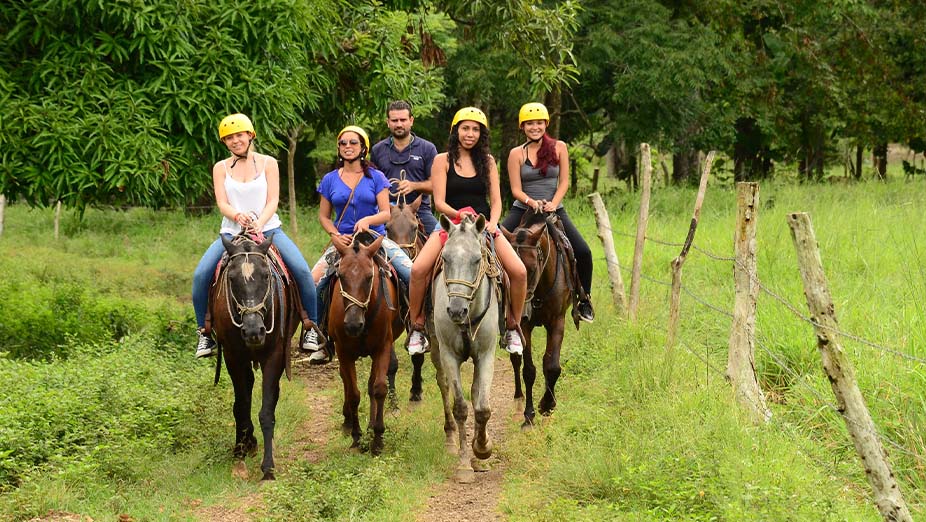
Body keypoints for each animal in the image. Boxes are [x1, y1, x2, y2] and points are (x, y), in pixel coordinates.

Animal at [208, 234, 300, 478]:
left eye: (266, 275)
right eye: (231, 278)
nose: (253, 331)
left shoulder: (275, 355)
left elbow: (267, 411)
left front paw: (268, 467)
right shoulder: (233, 356)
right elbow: (241, 406)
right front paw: (239, 457)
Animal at [334, 232, 406, 450]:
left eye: (368, 277)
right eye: (341, 276)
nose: (352, 325)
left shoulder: (382, 348)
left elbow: (379, 388)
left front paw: (377, 437)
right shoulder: (344, 352)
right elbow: (353, 393)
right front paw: (356, 436)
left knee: (372, 385)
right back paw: (348, 422)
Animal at [430, 212, 500, 472]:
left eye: (476, 259)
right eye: (445, 258)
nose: (456, 310)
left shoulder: (486, 355)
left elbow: (482, 408)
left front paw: (482, 448)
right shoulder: (449, 355)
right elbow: (460, 407)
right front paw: (463, 464)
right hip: (435, 349)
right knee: (443, 385)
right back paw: (450, 438)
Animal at [500, 209, 572, 424]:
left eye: (530, 270)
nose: (521, 308)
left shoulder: (557, 321)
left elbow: (552, 366)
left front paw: (547, 405)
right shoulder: (524, 326)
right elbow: (528, 370)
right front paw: (529, 415)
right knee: (515, 359)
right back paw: (518, 399)